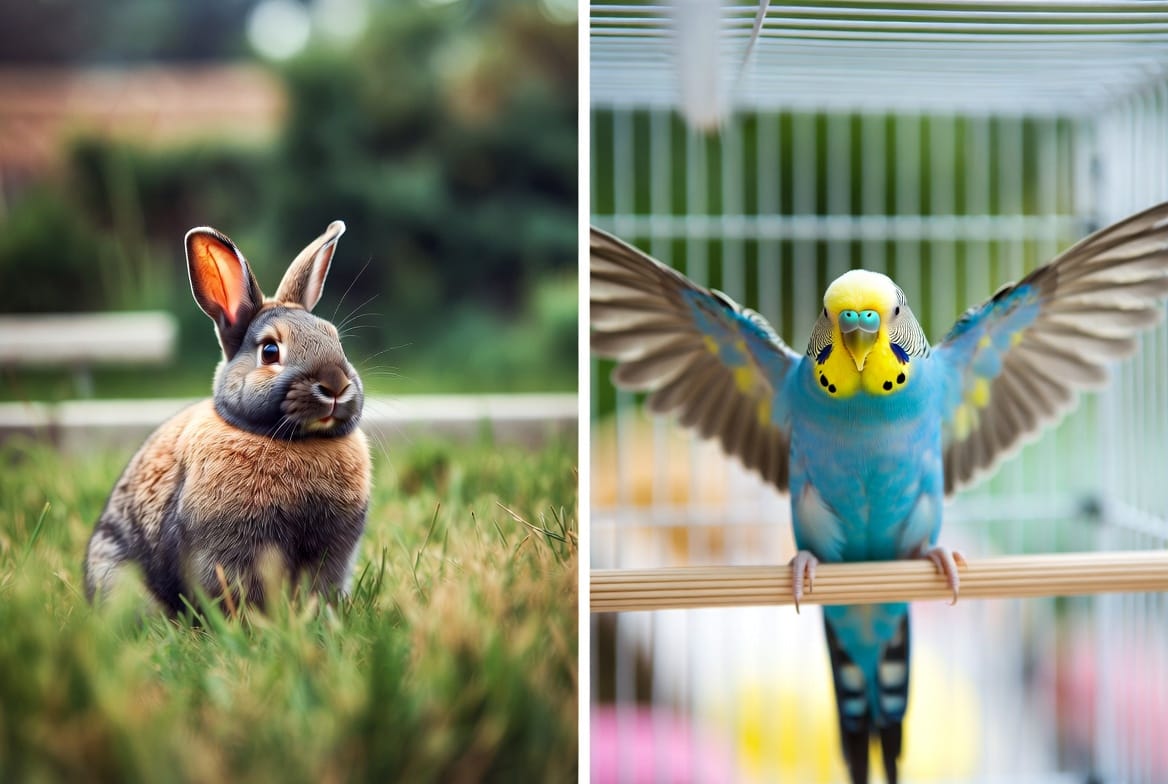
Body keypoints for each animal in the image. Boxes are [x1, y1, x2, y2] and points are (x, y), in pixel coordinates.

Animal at [84, 221, 371, 614]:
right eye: (270, 351)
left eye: (335, 340)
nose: (336, 385)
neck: (289, 439)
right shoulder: (226, 552)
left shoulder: (334, 552)